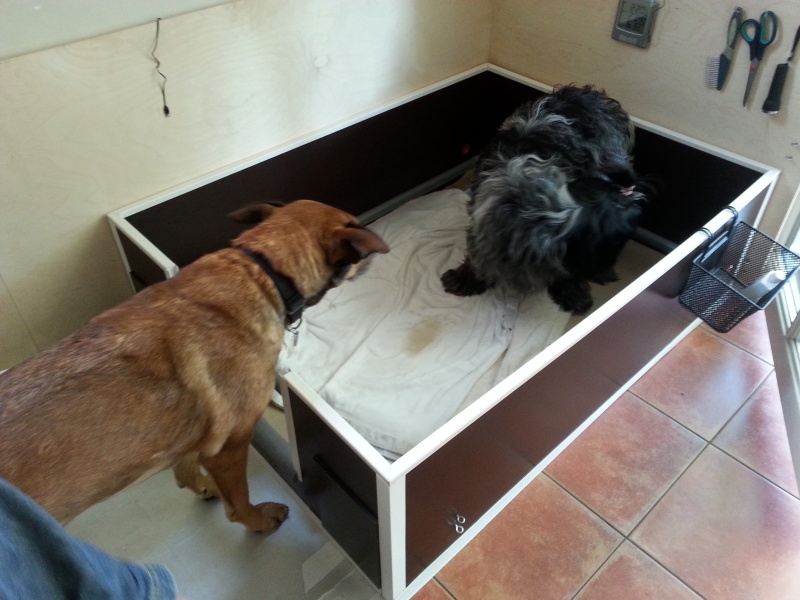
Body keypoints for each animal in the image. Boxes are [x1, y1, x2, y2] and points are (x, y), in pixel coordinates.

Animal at [0, 199, 389, 533]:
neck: (262, 271)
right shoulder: (229, 446)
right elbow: (239, 500)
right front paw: (257, 520)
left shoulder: (189, 439)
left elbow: (185, 471)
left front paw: (203, 486)